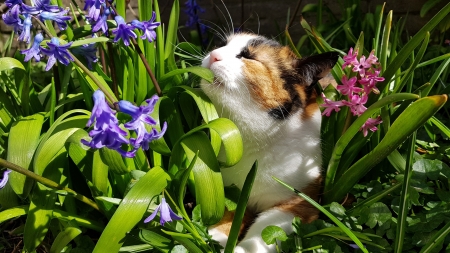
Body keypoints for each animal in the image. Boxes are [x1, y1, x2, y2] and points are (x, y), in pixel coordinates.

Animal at [200, 32, 338, 252]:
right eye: (222, 44)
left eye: (249, 57)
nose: (214, 54)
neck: (253, 140)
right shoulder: (229, 190)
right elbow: (227, 213)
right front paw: (215, 237)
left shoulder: (301, 202)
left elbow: (266, 229)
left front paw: (241, 249)